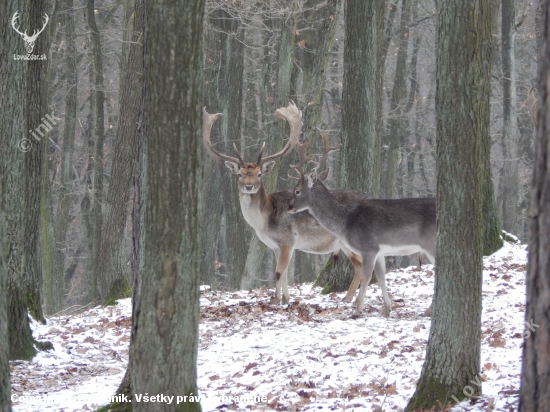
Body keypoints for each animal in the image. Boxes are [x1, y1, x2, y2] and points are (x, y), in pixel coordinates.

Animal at [204, 101, 376, 304]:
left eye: (259, 174)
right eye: (239, 174)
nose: (248, 186)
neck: (264, 222)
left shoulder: (288, 241)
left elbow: (279, 272)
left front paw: (276, 300)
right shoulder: (275, 246)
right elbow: (283, 273)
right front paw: (285, 298)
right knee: (359, 266)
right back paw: (347, 298)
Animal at [288, 130, 436, 318]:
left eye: (297, 191)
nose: (289, 206)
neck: (346, 221)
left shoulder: (368, 247)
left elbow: (366, 277)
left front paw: (357, 310)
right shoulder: (380, 251)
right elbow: (381, 277)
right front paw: (387, 309)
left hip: (431, 243)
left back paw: (428, 310)